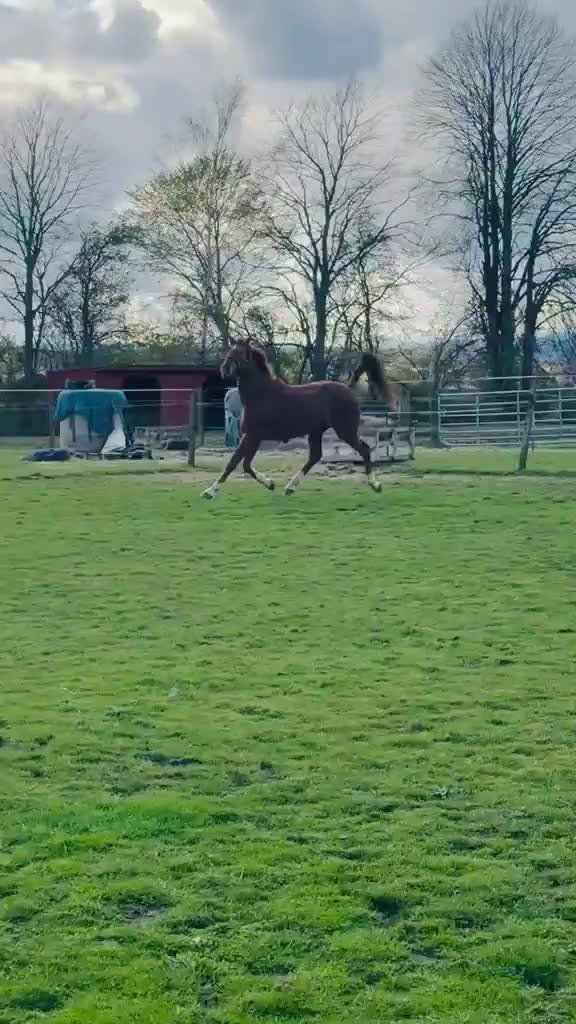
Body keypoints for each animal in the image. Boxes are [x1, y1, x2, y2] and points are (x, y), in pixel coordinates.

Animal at [201, 340, 399, 499]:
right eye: (230, 352)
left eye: (239, 354)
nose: (223, 370)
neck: (261, 394)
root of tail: (347, 388)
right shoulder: (253, 437)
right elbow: (245, 465)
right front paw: (271, 484)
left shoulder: (251, 436)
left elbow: (233, 463)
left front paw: (209, 492)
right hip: (316, 432)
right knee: (315, 456)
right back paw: (290, 488)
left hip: (345, 430)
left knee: (364, 449)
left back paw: (375, 485)